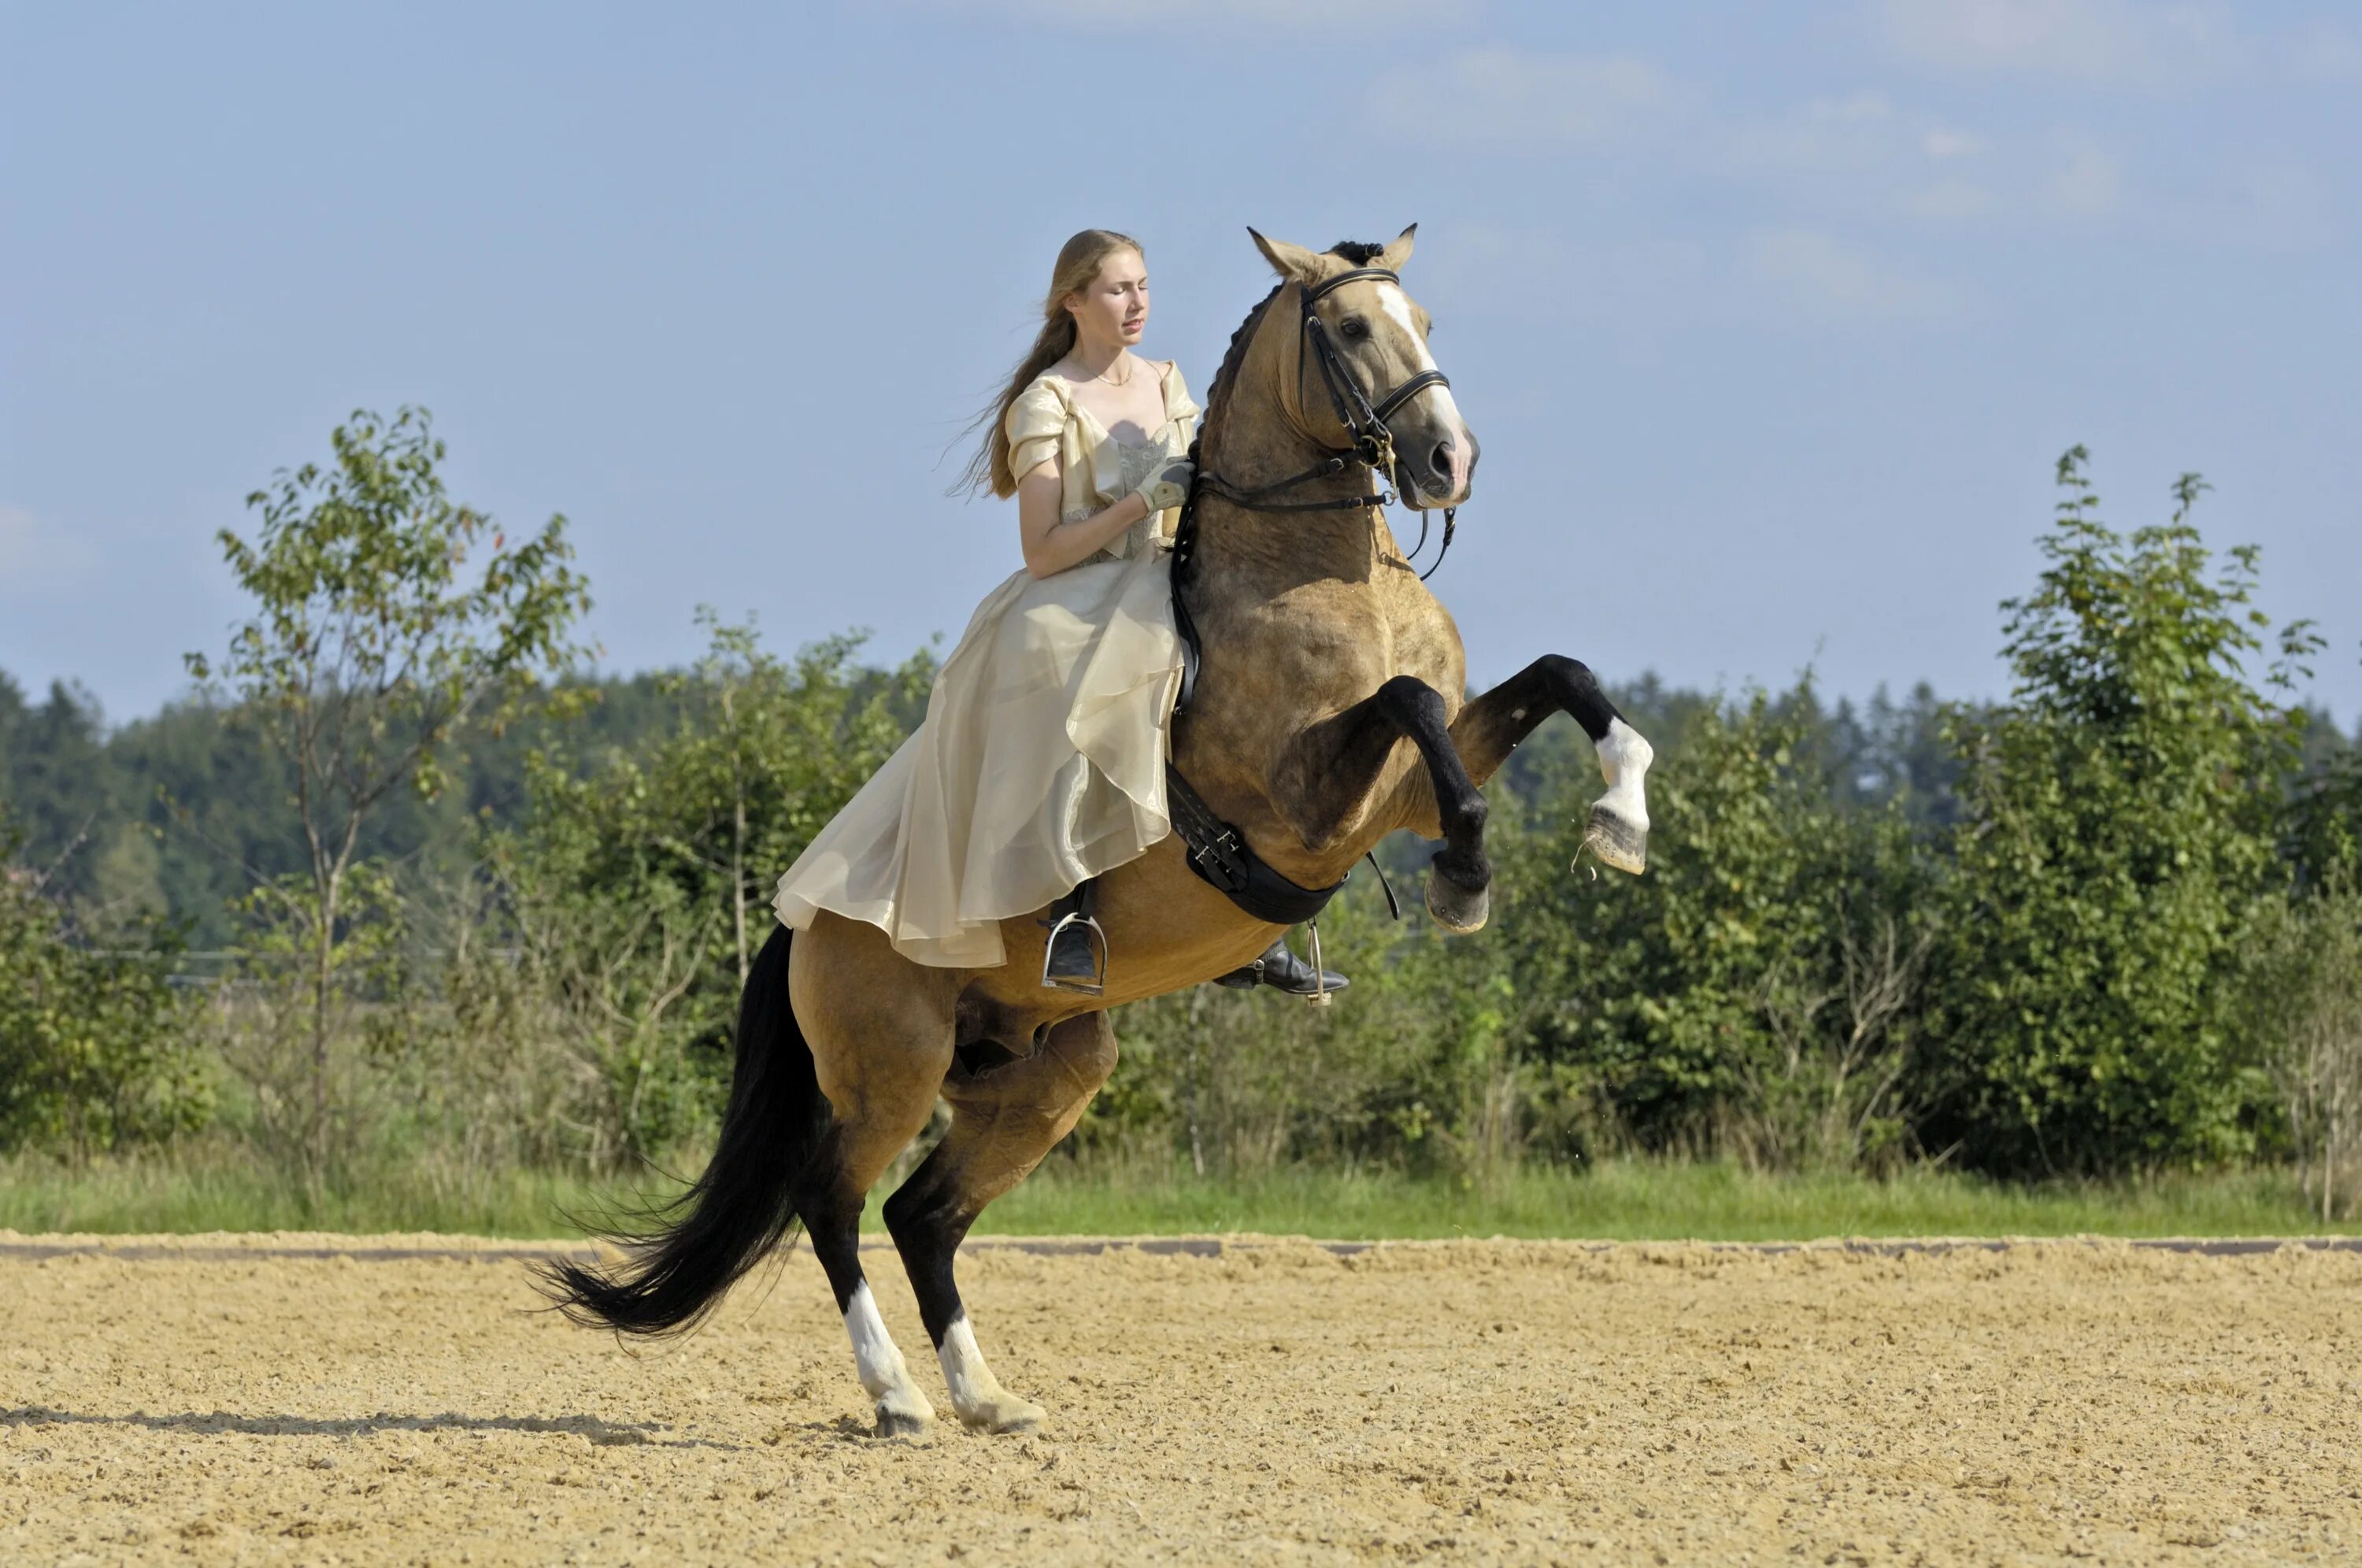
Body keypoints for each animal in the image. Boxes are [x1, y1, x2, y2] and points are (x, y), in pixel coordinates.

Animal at [548, 227, 1663, 1436]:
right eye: (1351, 329)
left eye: (1424, 321)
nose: (1448, 463)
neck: (1323, 576)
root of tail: (801, 919)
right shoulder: (1310, 804)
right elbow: (1410, 702)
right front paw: (1467, 877)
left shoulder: (1405, 781)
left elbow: (1557, 675)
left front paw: (1621, 814)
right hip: (892, 1068)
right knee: (831, 1201)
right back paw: (900, 1399)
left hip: (1045, 1074)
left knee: (923, 1217)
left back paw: (988, 1397)